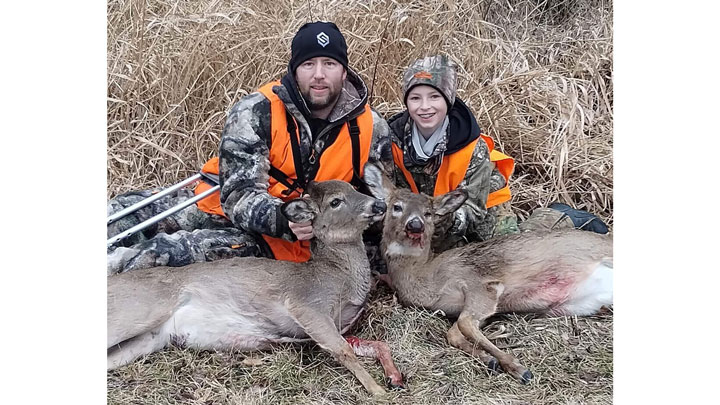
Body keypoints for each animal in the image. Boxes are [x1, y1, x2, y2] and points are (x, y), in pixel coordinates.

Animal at [105, 178, 404, 392]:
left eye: (355, 188)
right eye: (335, 201)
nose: (379, 205)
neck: (340, 275)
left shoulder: (340, 324)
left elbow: (376, 344)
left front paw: (394, 377)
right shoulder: (307, 303)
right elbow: (344, 352)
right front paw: (378, 391)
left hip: (150, 338)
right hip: (141, 309)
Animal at [366, 161, 612, 382]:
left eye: (428, 213)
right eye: (397, 206)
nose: (415, 225)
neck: (427, 277)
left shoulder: (478, 281)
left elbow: (464, 323)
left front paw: (516, 367)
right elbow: (454, 333)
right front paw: (489, 359)